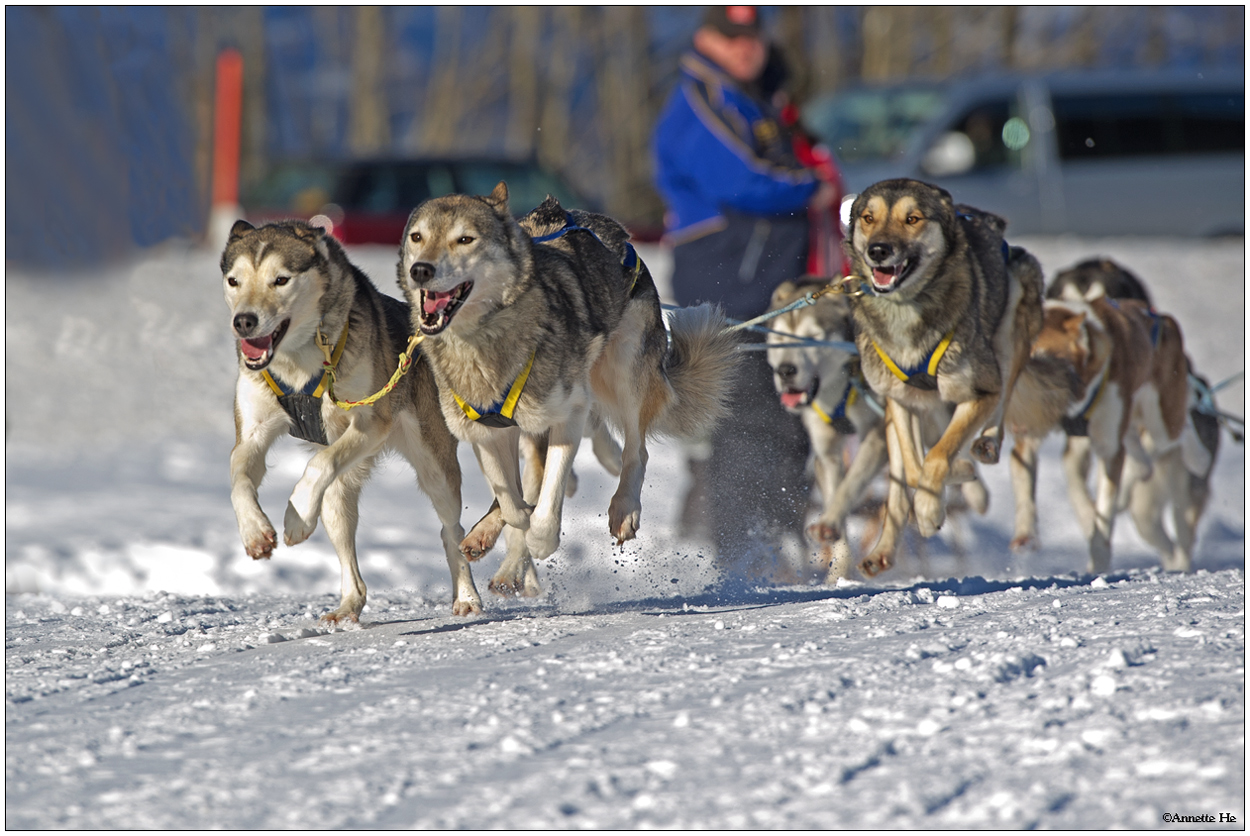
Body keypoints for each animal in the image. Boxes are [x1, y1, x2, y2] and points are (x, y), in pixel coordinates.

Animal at [222, 218, 480, 622]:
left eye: (280, 279)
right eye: (234, 280)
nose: (244, 321)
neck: (296, 363)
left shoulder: (370, 422)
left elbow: (317, 463)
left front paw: (295, 517)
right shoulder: (253, 433)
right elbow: (238, 476)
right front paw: (254, 531)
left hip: (434, 468)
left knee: (451, 530)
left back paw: (467, 597)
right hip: (338, 495)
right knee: (346, 544)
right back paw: (348, 604)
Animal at [395, 182, 735, 592]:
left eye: (465, 239)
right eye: (417, 237)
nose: (421, 270)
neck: (483, 343)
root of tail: (610, 229)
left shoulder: (566, 415)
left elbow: (546, 499)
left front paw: (540, 538)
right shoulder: (483, 432)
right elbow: (512, 502)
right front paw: (510, 525)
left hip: (623, 369)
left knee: (635, 450)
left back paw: (623, 507)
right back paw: (490, 538)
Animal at [840, 179, 1045, 577]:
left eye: (912, 218)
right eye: (869, 218)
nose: (878, 250)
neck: (905, 312)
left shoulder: (979, 391)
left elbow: (937, 457)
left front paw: (931, 509)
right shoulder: (900, 403)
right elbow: (915, 471)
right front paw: (941, 490)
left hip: (1013, 316)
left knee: (1003, 389)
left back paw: (986, 445)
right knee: (900, 482)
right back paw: (882, 550)